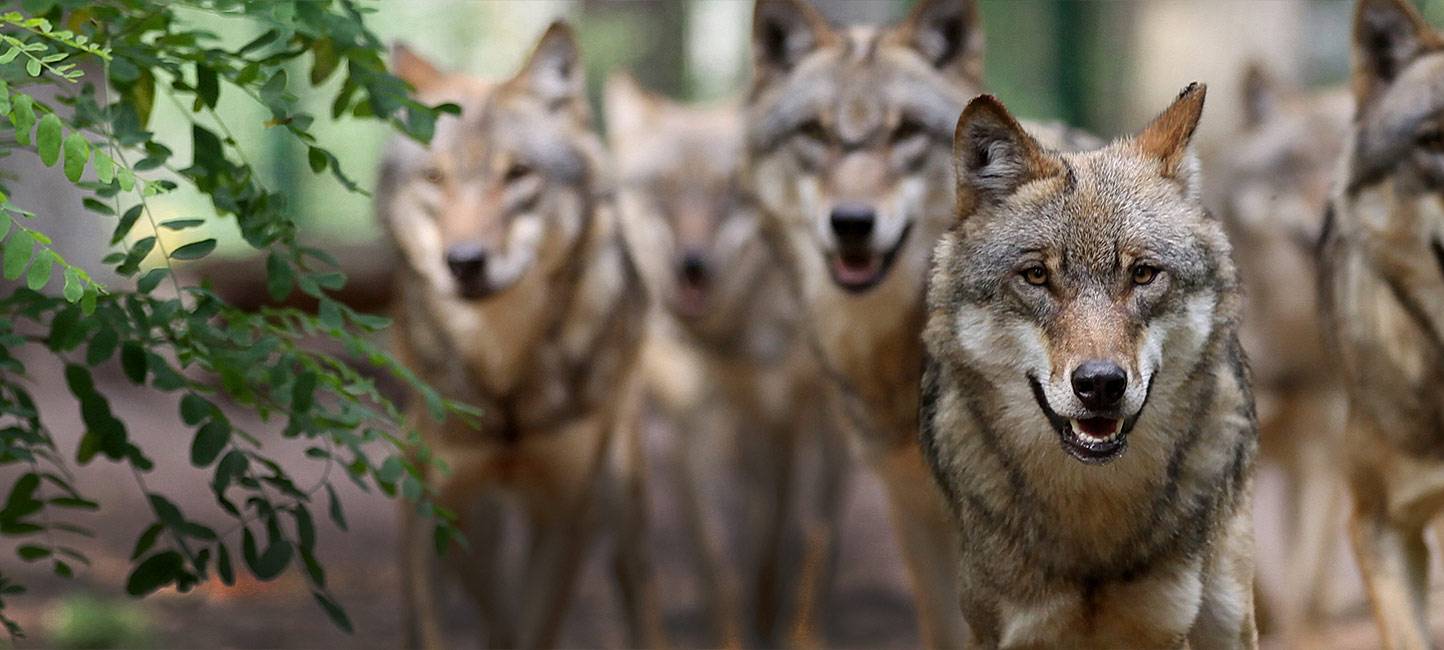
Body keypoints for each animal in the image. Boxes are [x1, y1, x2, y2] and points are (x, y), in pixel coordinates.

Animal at [380, 23, 662, 649]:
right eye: (435, 178)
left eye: (518, 175)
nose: (464, 263)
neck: (503, 371)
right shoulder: (443, 507)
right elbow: (451, 624)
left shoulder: (566, 513)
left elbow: (533, 629)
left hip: (621, 498)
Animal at [606, 75, 843, 647]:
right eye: (662, 189)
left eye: (726, 192)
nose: (692, 266)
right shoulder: (697, 425)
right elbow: (719, 563)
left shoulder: (819, 419)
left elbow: (812, 539)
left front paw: (800, 634)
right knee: (631, 555)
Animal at [921, 84, 1260, 649]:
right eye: (1036, 276)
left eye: (1143, 274)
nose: (1100, 384)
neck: (1091, 518)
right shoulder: (1012, 631)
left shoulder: (1165, 625)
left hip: (1228, 616)